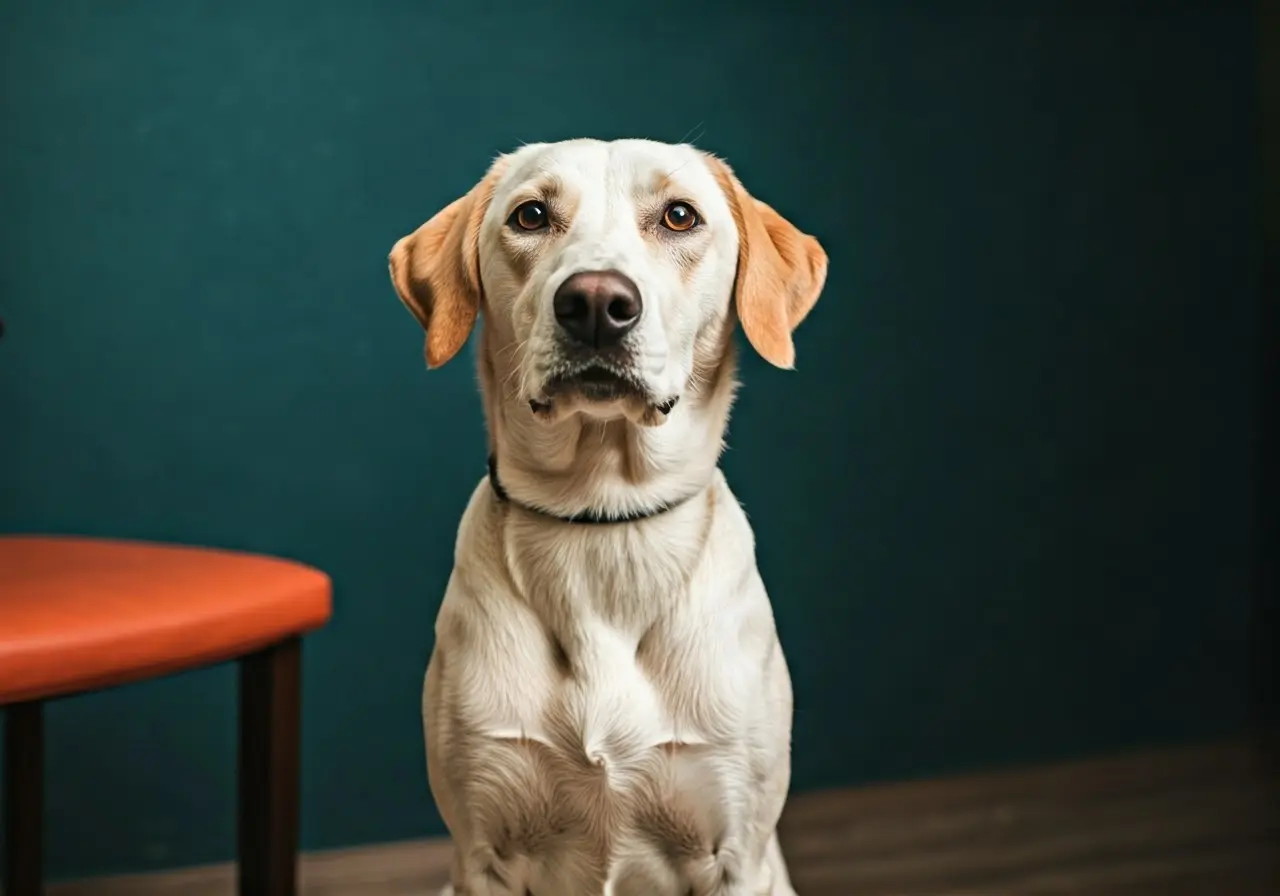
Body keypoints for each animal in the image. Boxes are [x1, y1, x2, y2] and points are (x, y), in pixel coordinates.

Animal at [389, 136, 824, 890]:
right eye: (531, 215)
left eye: (679, 215)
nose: (595, 302)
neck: (603, 524)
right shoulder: (483, 852)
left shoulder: (735, 852)